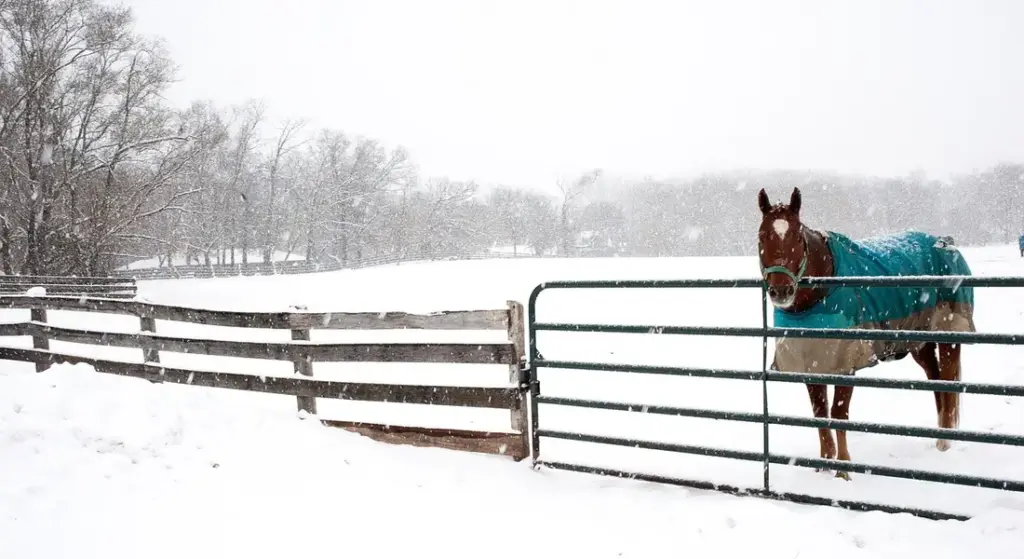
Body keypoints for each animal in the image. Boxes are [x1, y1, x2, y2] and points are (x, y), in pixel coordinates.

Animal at [756, 187, 976, 479]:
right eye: (762, 235)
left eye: (797, 236)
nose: (781, 291)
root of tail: (945, 244)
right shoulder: (810, 361)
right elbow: (819, 412)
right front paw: (823, 466)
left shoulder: (847, 363)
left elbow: (838, 413)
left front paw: (843, 470)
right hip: (920, 343)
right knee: (935, 381)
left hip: (949, 335)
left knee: (948, 384)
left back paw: (944, 443)